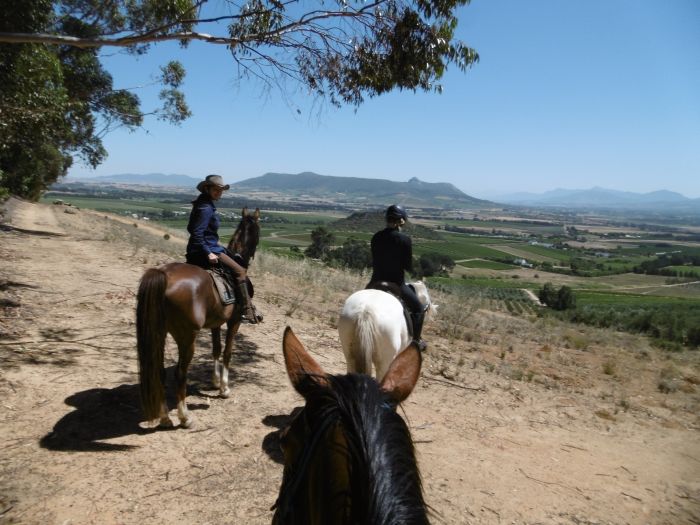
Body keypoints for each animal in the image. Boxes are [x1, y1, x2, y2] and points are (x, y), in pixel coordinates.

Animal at [135, 205, 260, 426]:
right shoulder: (234, 321)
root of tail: (163, 275)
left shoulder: (216, 322)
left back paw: (165, 417)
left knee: (159, 371)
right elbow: (227, 352)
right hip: (187, 337)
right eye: (259, 232)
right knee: (180, 373)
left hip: (159, 331)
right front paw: (224, 388)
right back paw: (184, 417)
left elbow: (216, 350)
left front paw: (215, 382)